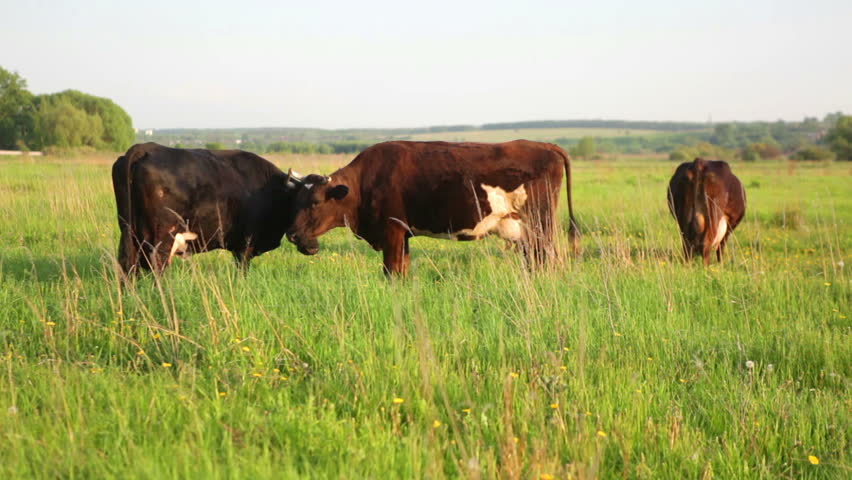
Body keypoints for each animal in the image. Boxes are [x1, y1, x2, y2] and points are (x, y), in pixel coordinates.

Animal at [111, 142, 302, 275]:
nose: (296, 235)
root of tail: (146, 147)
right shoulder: (245, 245)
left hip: (128, 232)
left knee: (127, 266)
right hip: (160, 238)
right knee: (156, 266)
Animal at [285, 140, 579, 276]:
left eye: (316, 201)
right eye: (296, 200)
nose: (293, 235)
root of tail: (545, 145)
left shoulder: (392, 230)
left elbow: (392, 272)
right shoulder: (402, 235)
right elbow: (402, 271)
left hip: (540, 226)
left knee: (546, 260)